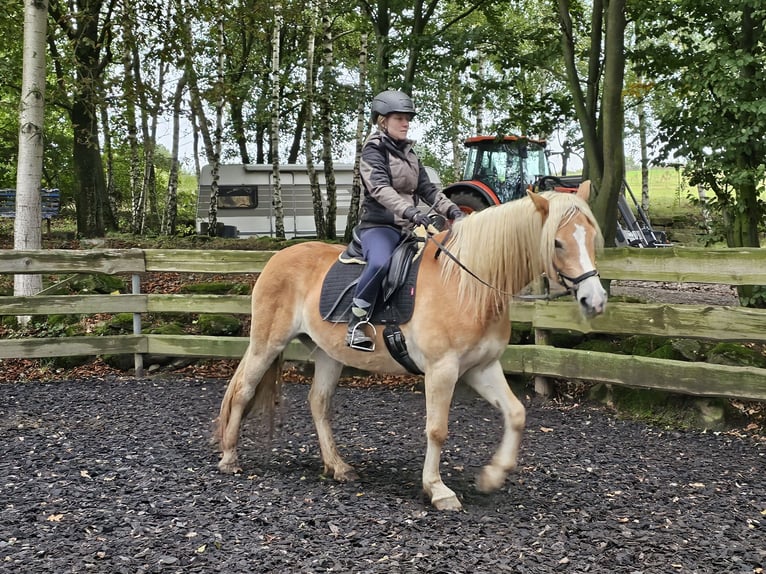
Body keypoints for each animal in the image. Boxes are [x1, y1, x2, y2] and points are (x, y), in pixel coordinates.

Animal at [213, 184, 608, 512]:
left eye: (591, 238)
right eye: (557, 243)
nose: (595, 300)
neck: (467, 284)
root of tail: (277, 259)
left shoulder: (481, 367)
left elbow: (516, 414)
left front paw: (492, 476)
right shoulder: (442, 370)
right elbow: (437, 429)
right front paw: (437, 489)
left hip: (329, 354)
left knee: (319, 404)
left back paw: (338, 467)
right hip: (267, 342)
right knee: (243, 390)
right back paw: (230, 458)